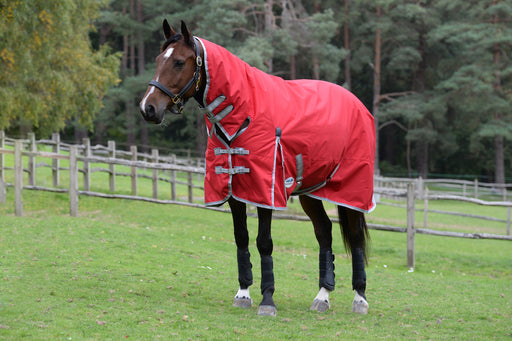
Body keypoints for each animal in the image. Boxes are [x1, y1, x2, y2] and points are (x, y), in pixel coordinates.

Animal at [138, 19, 374, 314]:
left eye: (179, 62)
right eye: (159, 59)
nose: (148, 108)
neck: (244, 109)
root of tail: (358, 104)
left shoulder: (265, 191)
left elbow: (264, 242)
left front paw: (268, 300)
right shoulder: (234, 191)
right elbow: (241, 237)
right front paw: (243, 293)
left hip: (350, 192)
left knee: (354, 237)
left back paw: (360, 298)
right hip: (310, 192)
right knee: (325, 233)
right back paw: (322, 296)